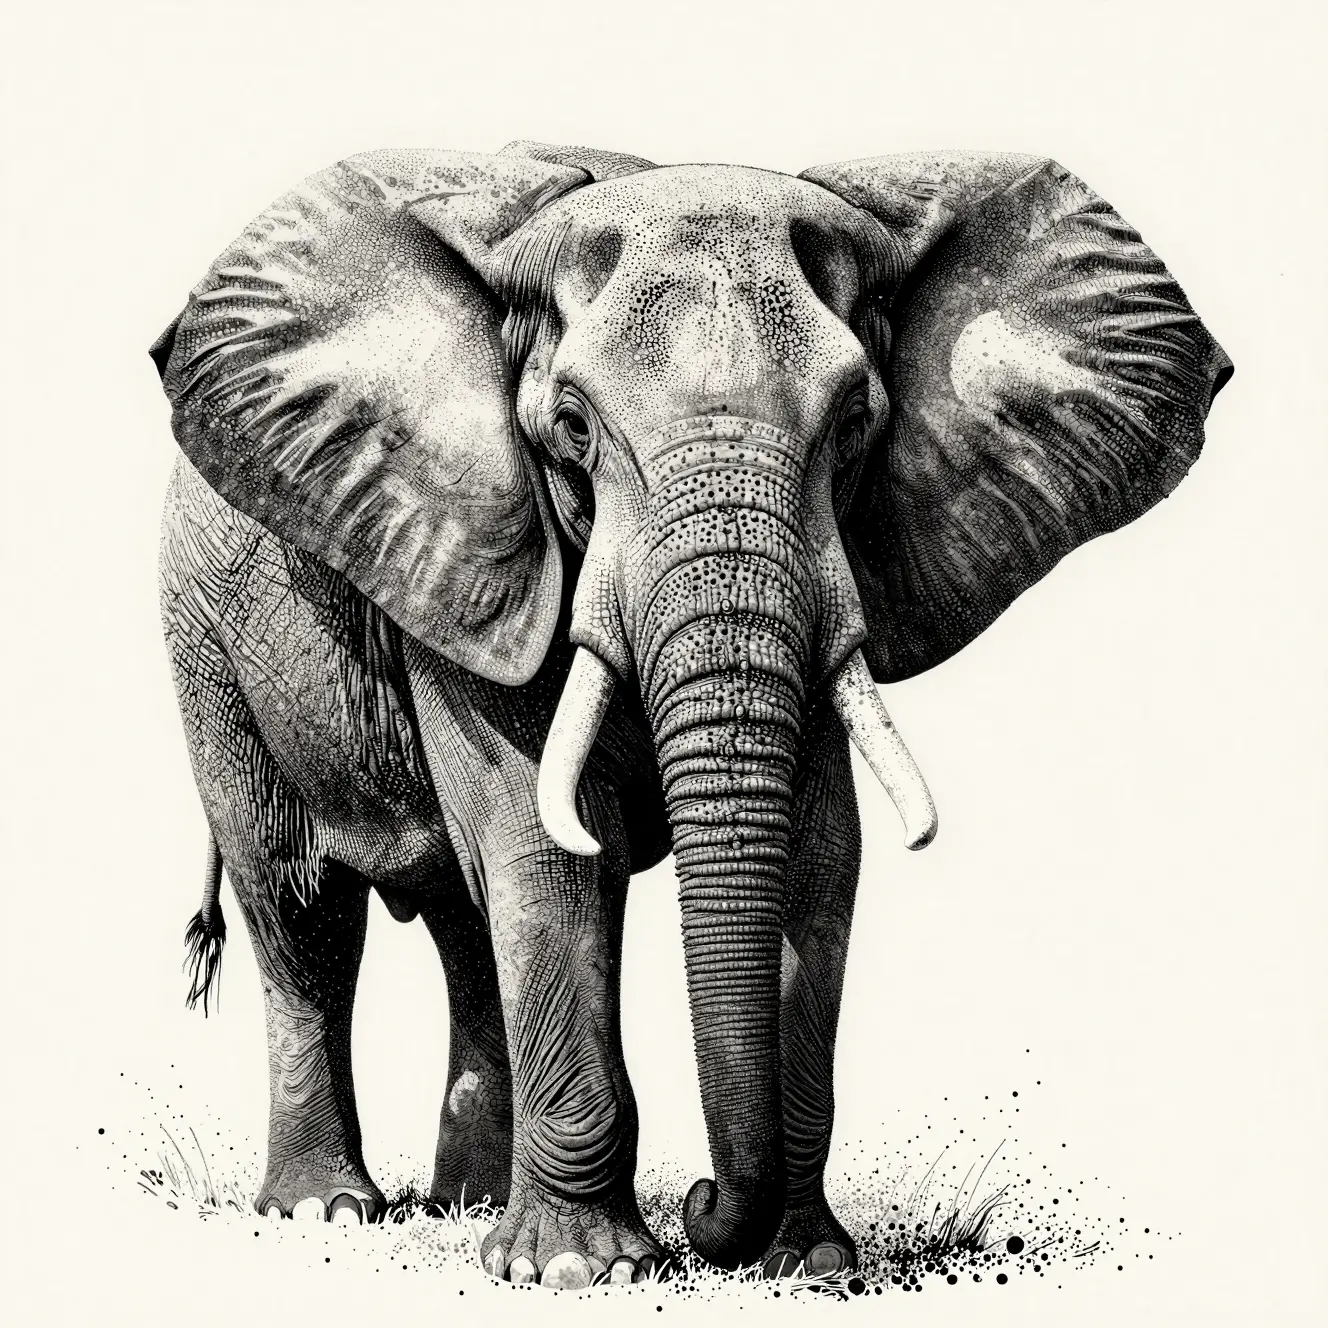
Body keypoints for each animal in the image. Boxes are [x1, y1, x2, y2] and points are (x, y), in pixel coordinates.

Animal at [152, 139, 1230, 1286]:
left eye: (857, 423)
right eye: (571, 429)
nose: (707, 1203)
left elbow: (816, 855)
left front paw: (808, 1264)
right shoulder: (488, 559)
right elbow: (548, 851)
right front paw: (577, 1273)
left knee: (463, 926)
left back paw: (465, 1204)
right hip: (207, 646)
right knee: (299, 905)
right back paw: (327, 1211)